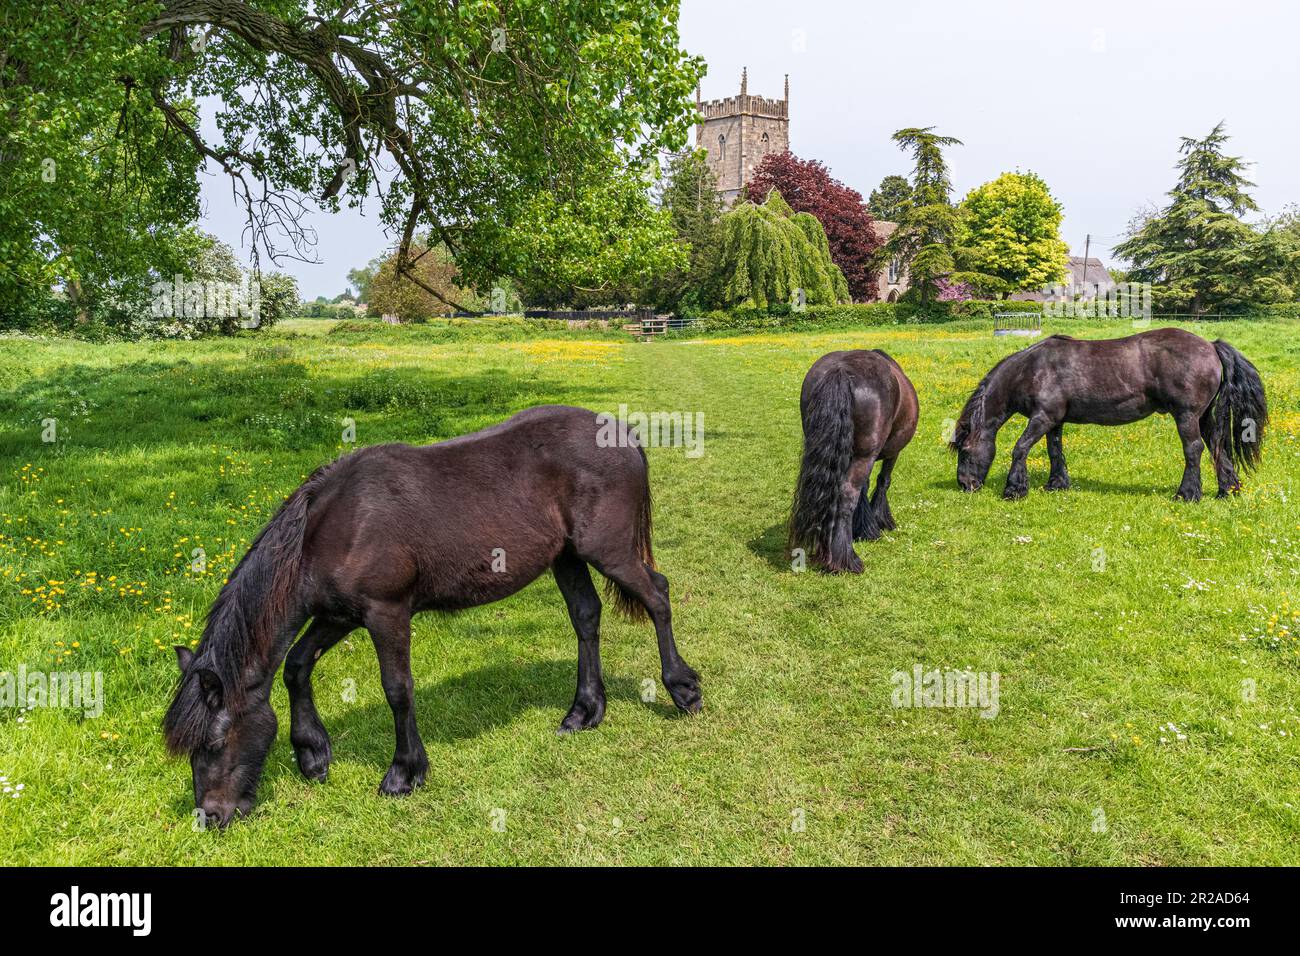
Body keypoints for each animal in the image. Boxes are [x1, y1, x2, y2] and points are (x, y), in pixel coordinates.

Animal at [170, 408, 712, 827]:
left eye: (213, 744)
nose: (210, 817)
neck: (332, 526)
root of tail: (622, 432)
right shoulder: (339, 615)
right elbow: (297, 665)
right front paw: (313, 756)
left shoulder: (386, 613)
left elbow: (397, 689)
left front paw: (404, 773)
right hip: (568, 557)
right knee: (586, 617)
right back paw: (584, 712)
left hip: (609, 552)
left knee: (658, 597)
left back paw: (682, 689)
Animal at [785, 351, 920, 574]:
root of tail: (840, 370)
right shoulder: (892, 453)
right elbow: (883, 481)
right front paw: (878, 522)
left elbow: (865, 487)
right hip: (865, 457)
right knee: (847, 495)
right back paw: (844, 560)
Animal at [951, 329, 1263, 502]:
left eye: (964, 451)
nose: (965, 485)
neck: (1032, 369)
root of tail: (1210, 345)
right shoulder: (1054, 421)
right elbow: (1055, 451)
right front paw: (1057, 484)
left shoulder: (1042, 418)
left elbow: (1020, 449)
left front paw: (1014, 489)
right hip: (1203, 417)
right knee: (1216, 446)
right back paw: (1227, 490)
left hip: (1186, 416)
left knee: (1194, 449)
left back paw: (1187, 494)